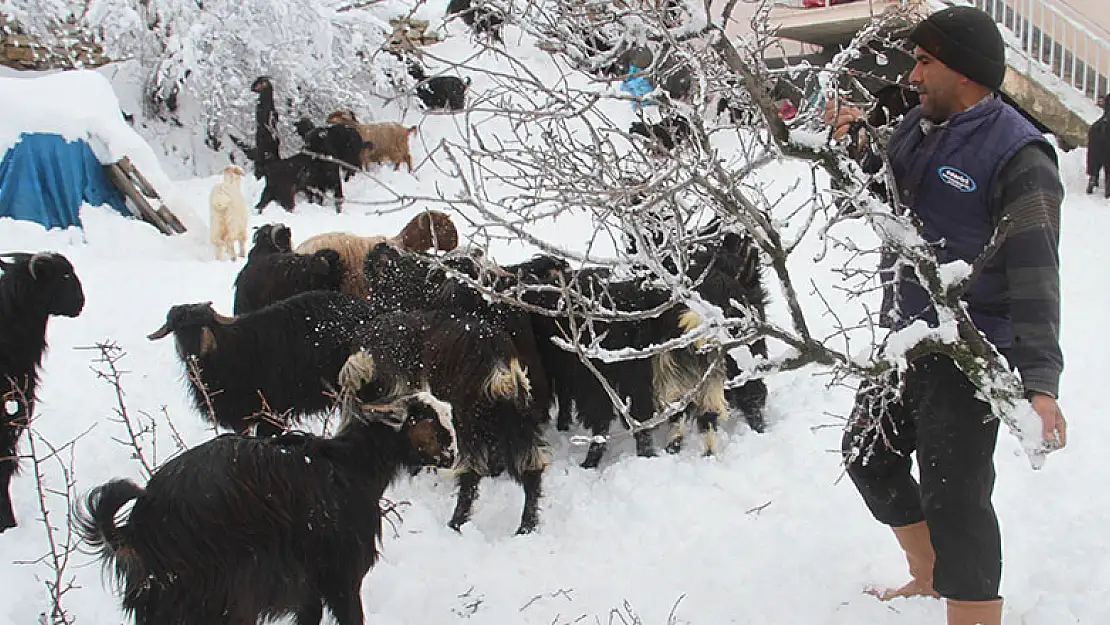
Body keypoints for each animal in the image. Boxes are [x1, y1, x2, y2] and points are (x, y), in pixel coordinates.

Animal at [77, 381, 455, 625]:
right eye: (430, 421)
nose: (453, 454)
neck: (352, 466)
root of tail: (139, 532)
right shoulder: (340, 574)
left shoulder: (307, 587)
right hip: (225, 600)